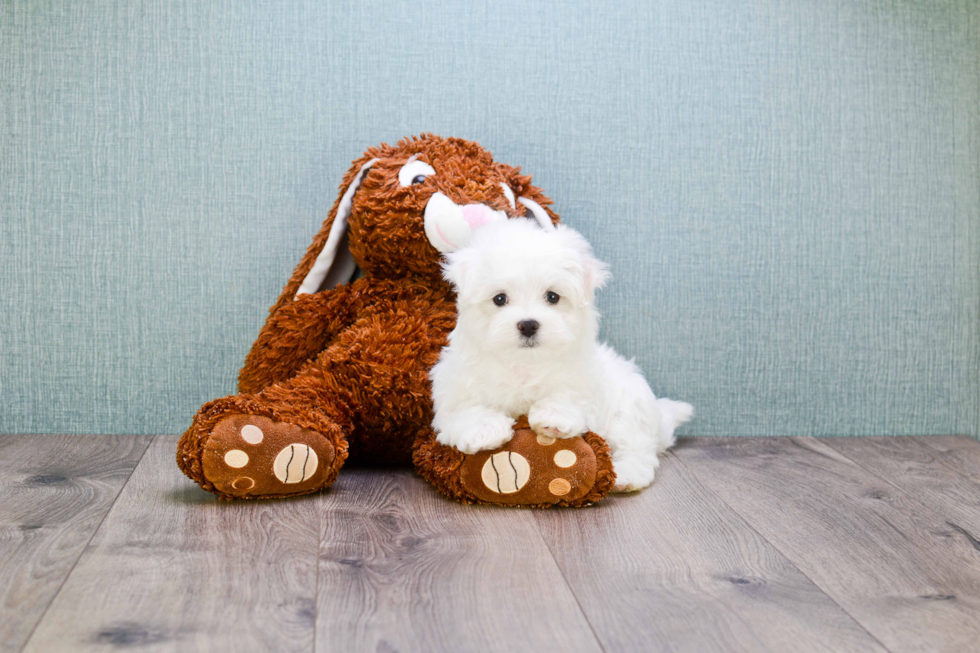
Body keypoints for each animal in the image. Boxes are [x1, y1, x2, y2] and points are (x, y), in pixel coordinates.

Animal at [432, 216, 692, 492]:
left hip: (628, 412)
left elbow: (567, 395)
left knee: (636, 448)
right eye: (500, 299)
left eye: (553, 297)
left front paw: (553, 417)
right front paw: (484, 430)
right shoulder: (456, 386)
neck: (523, 364)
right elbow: (465, 410)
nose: (528, 324)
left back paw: (627, 476)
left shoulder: (581, 379)